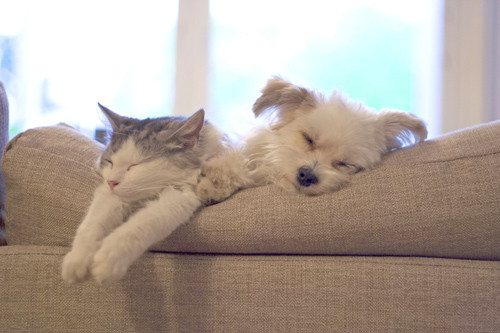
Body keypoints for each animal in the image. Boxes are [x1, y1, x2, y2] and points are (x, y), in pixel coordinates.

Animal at [61, 104, 226, 282]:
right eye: (110, 162)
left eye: (135, 165)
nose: (112, 182)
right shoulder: (108, 195)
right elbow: (91, 224)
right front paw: (76, 260)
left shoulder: (180, 195)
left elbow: (140, 224)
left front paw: (108, 259)